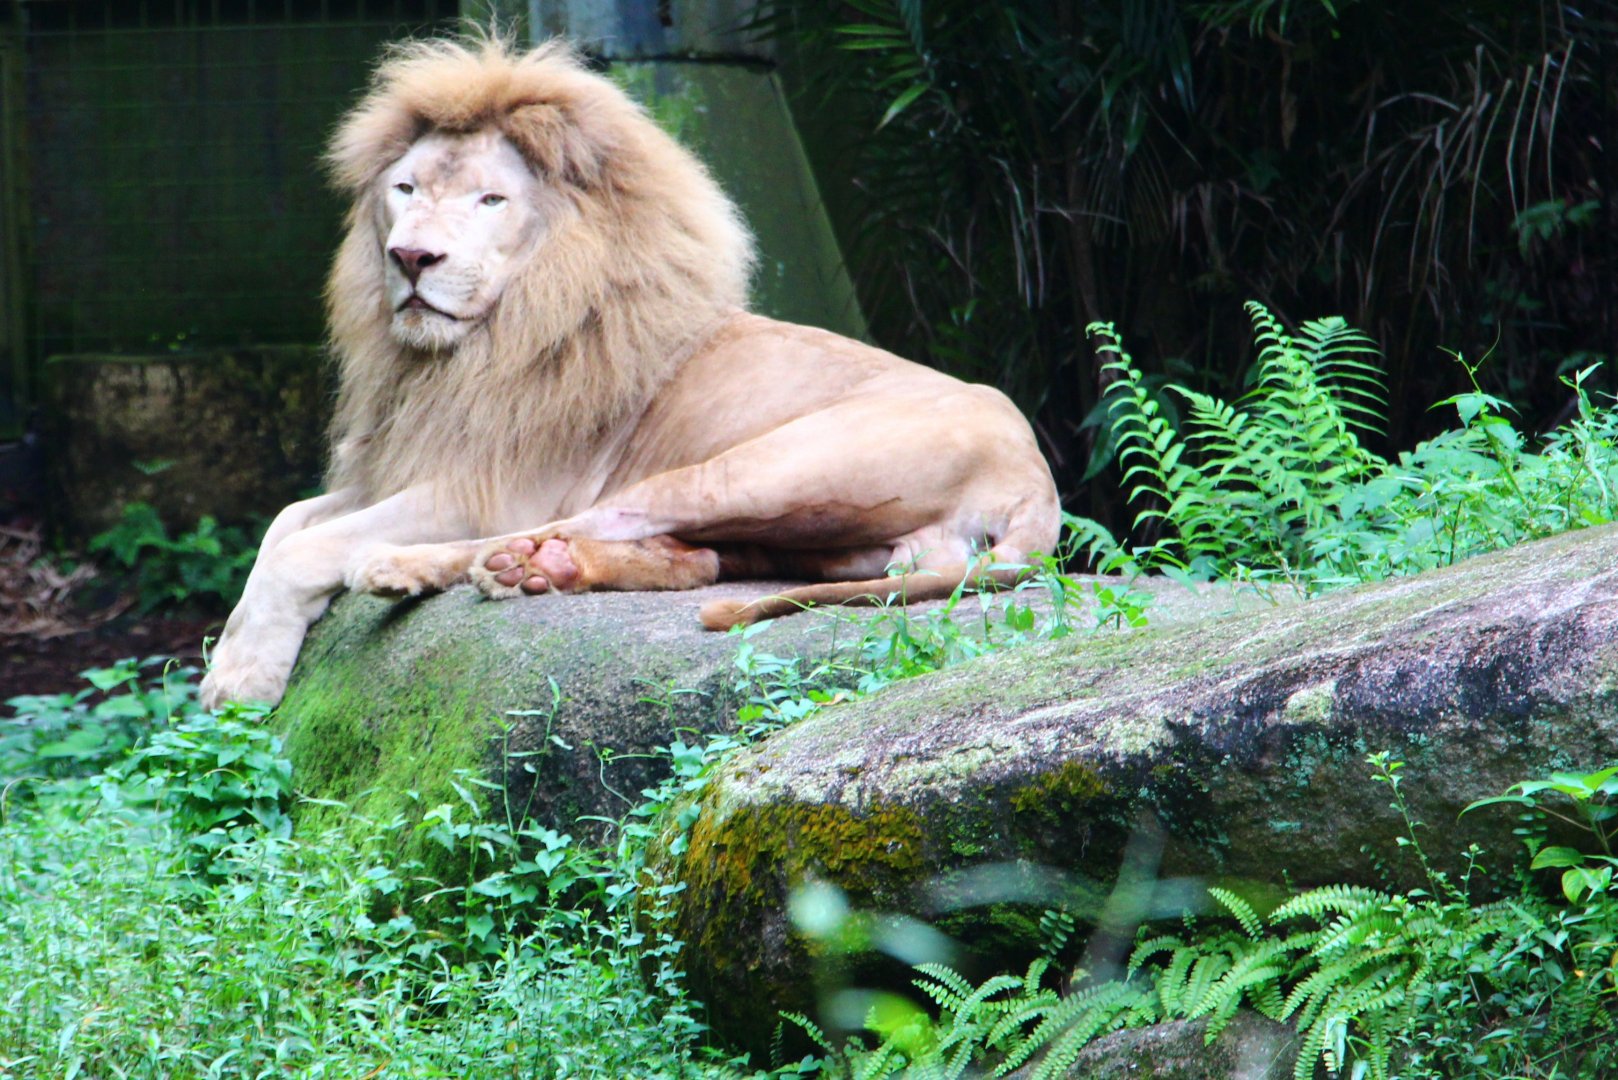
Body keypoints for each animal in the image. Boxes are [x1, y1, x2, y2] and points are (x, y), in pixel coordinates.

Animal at [198, 37, 1061, 709]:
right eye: (404, 189)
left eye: (489, 200)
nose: (410, 256)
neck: (462, 354)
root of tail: (1035, 482)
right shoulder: (406, 460)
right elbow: (285, 524)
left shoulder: (494, 486)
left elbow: (305, 548)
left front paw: (239, 680)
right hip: (834, 539)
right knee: (700, 559)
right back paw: (538, 571)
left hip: (756, 468)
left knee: (607, 521)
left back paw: (436, 566)